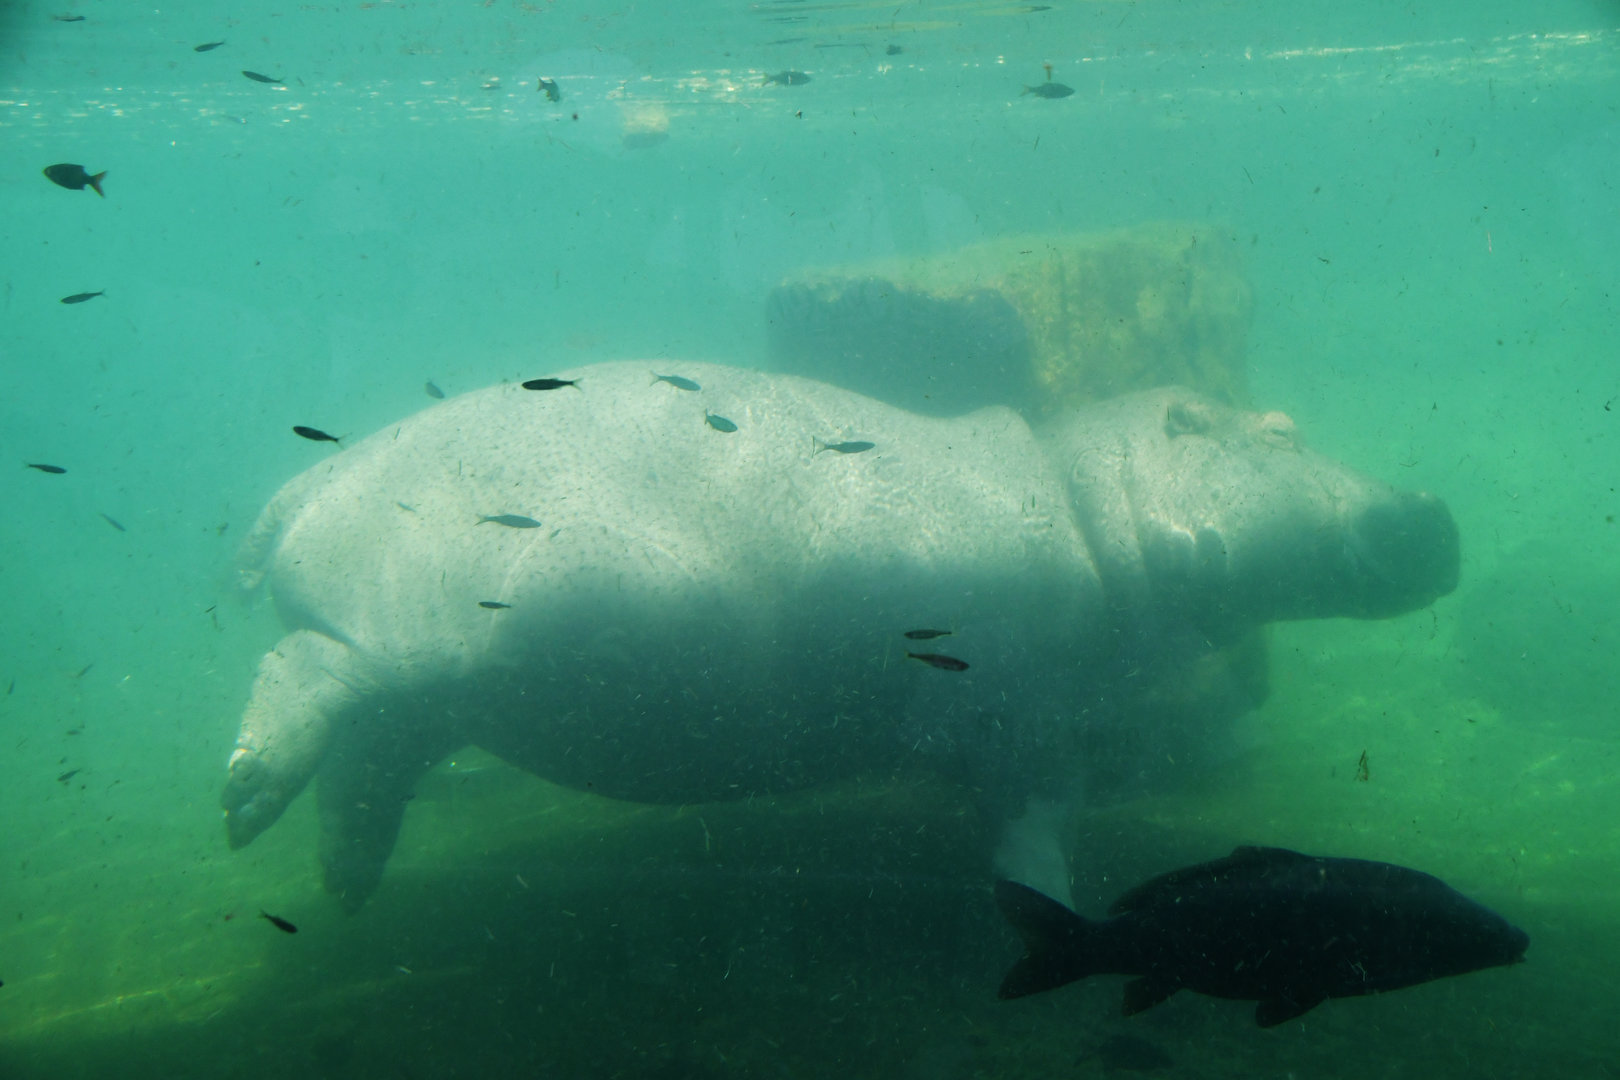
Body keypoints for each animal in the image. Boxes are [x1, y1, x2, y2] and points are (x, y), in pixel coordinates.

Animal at [221, 362, 1459, 911]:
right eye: (1277, 432)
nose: (1432, 511)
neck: (1093, 500)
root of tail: (306, 486)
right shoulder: (1029, 725)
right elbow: (1036, 830)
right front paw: (1056, 914)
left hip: (442, 695)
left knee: (365, 767)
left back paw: (338, 883)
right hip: (428, 642)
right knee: (307, 676)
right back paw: (244, 799)